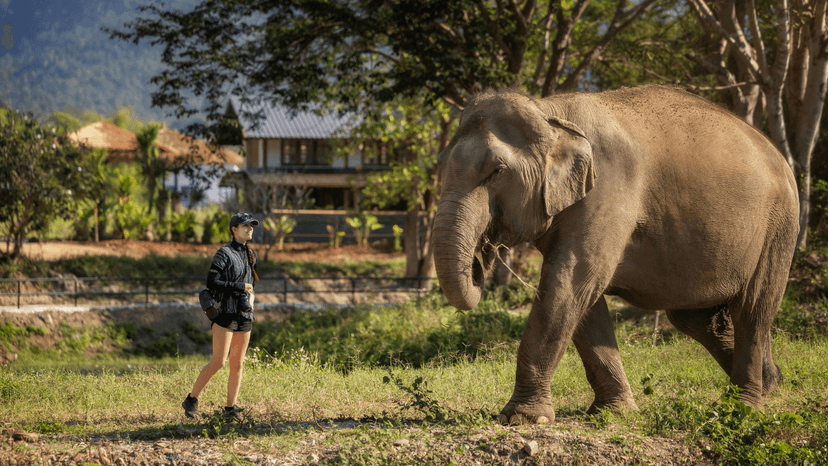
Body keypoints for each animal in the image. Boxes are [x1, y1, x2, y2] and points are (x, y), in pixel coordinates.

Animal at [433, 85, 799, 424]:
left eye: (496, 171)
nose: (481, 257)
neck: (550, 111)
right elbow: (582, 297)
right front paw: (614, 412)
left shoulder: (609, 189)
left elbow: (570, 282)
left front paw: (522, 418)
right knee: (695, 318)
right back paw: (772, 381)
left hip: (779, 226)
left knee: (752, 309)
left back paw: (743, 407)